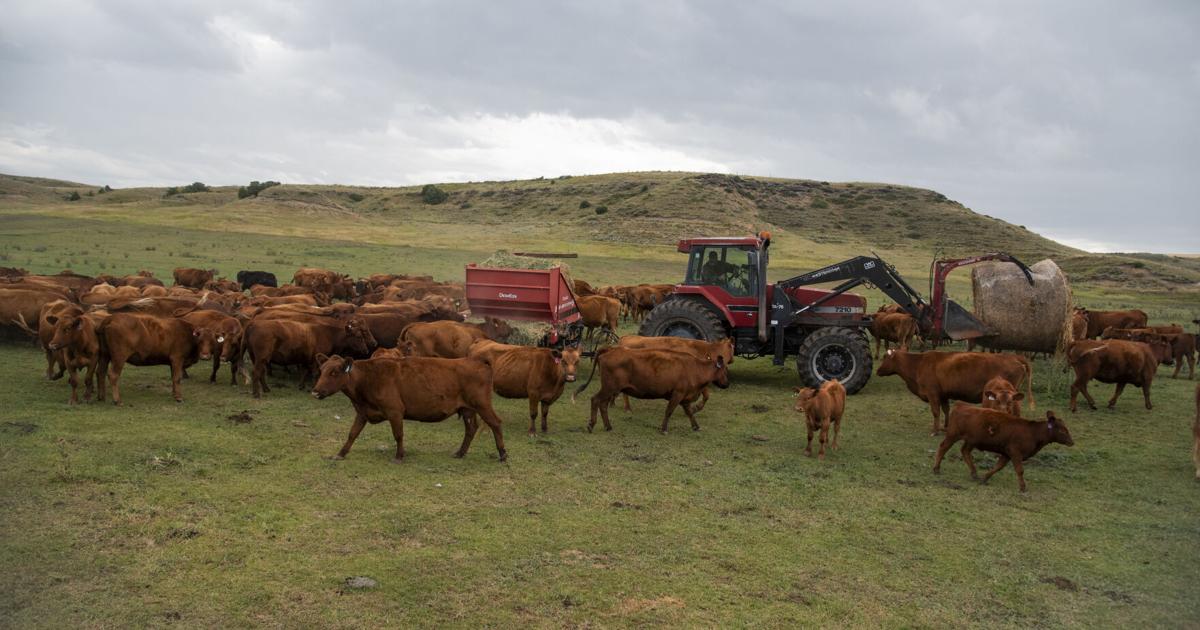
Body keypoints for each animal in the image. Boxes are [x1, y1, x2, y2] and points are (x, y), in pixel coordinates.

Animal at [243, 315, 377, 398]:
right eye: (359, 336)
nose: (366, 350)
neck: (329, 334)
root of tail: (254, 323)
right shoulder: (315, 360)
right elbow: (315, 373)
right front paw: (313, 387)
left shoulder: (306, 359)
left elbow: (304, 371)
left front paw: (301, 386)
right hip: (261, 358)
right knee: (256, 373)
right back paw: (257, 394)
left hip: (258, 358)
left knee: (261, 373)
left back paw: (266, 389)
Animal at [310, 354, 507, 463]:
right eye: (321, 370)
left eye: (334, 372)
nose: (315, 391)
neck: (368, 378)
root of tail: (477, 360)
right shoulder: (362, 413)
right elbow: (352, 434)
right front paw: (341, 454)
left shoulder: (395, 411)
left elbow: (398, 435)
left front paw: (399, 456)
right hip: (467, 410)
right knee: (471, 429)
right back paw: (460, 453)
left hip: (482, 404)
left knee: (496, 423)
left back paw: (503, 454)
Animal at [584, 347, 729, 434]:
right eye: (724, 370)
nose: (727, 384)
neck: (695, 368)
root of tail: (611, 349)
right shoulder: (677, 394)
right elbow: (669, 411)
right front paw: (664, 429)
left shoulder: (684, 397)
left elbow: (689, 413)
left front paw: (696, 426)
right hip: (609, 388)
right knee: (595, 400)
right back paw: (592, 424)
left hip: (610, 389)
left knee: (603, 405)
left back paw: (608, 426)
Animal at [875, 349, 1035, 434]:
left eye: (884, 357)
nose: (877, 371)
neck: (918, 364)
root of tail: (1014, 357)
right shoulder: (943, 395)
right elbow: (946, 410)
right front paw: (946, 427)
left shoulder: (933, 394)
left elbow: (936, 412)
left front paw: (935, 431)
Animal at [934, 405, 1073, 492]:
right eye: (1062, 430)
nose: (1071, 442)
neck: (1033, 432)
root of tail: (960, 407)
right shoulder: (1015, 452)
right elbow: (1019, 470)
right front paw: (1023, 487)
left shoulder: (1006, 454)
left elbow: (998, 467)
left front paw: (985, 477)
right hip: (953, 435)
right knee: (943, 447)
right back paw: (936, 468)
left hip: (971, 441)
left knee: (965, 451)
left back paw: (974, 473)